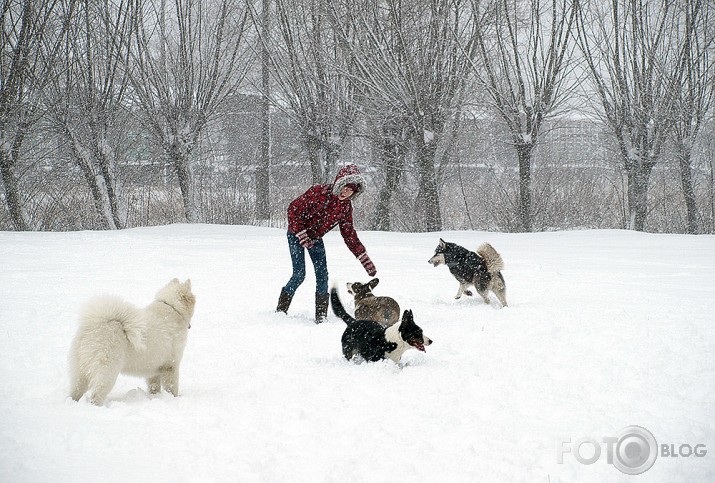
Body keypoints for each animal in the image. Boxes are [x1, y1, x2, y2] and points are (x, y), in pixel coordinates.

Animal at [68, 278, 196, 406]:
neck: (173, 308)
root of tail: (96, 326)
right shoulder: (171, 365)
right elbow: (172, 386)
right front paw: (175, 398)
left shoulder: (154, 368)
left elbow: (154, 386)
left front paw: (155, 397)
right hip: (107, 371)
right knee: (96, 395)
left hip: (80, 372)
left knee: (75, 392)